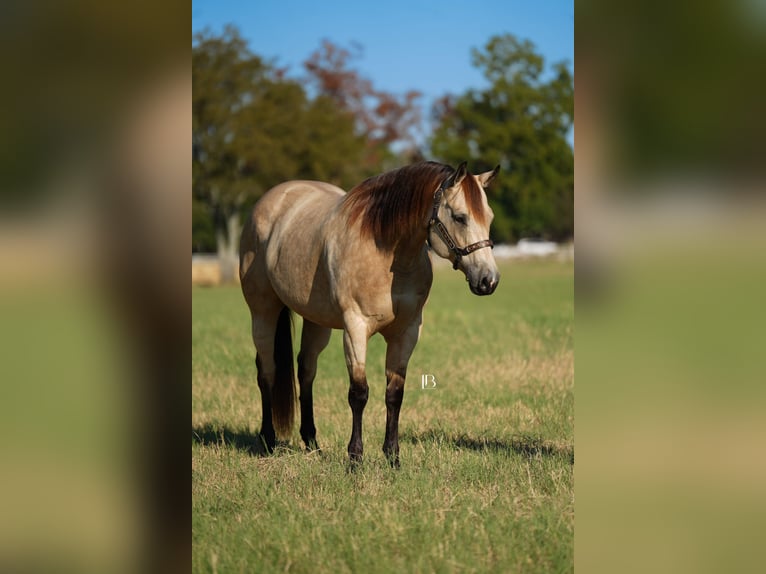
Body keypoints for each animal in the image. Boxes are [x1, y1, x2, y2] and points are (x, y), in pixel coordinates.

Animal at [239, 161, 500, 467]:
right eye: (460, 217)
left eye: (489, 217)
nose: (489, 280)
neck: (387, 253)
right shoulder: (355, 329)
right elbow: (359, 393)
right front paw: (355, 458)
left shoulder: (406, 333)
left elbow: (395, 393)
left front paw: (393, 457)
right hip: (263, 311)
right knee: (267, 371)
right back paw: (267, 439)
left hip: (317, 321)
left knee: (306, 371)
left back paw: (312, 442)